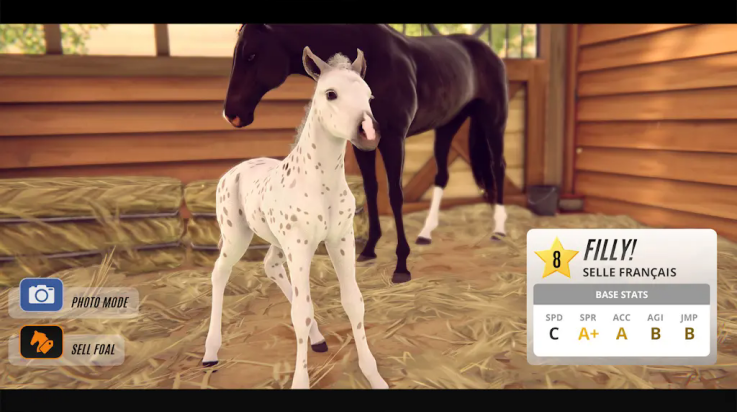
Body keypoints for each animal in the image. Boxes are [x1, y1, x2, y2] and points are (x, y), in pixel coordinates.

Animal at [203, 47, 389, 390]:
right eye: (330, 93)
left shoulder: (341, 240)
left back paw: (318, 338)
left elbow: (353, 303)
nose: (369, 133)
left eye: (369, 96)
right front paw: (301, 381)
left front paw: (374, 376)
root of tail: (233, 171)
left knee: (270, 266)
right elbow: (301, 313)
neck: (320, 184)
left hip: (279, 241)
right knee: (219, 273)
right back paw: (210, 351)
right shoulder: (300, 246)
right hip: (238, 237)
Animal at [222, 24, 509, 284]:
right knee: (442, 175)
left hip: (493, 120)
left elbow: (395, 195)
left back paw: (499, 230)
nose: (232, 114)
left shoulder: (393, 139)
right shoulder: (362, 144)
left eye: (251, 55)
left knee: (498, 166)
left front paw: (401, 266)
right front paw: (369, 250)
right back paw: (426, 233)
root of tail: (488, 52)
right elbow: (371, 189)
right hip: (448, 125)